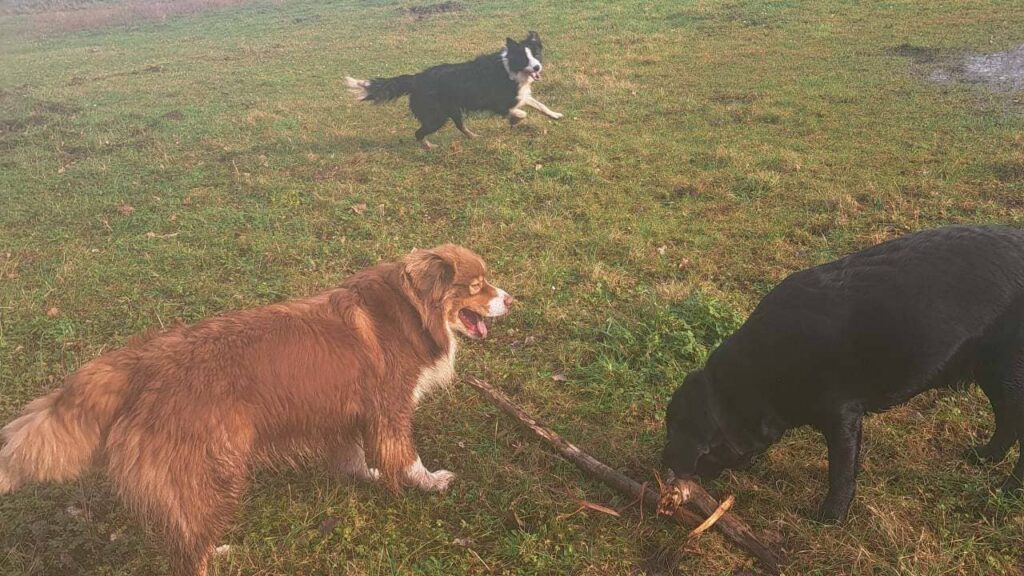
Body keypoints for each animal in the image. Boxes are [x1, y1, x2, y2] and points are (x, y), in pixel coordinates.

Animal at [0, 242, 512, 573]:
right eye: (477, 285)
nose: (513, 299)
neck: (410, 309)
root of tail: (140, 363)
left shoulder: (346, 410)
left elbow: (353, 454)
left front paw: (364, 475)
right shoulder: (390, 408)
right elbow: (405, 457)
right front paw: (428, 482)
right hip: (214, 471)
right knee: (188, 553)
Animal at [348, 31, 565, 148]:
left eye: (536, 55)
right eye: (524, 58)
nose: (537, 68)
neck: (510, 67)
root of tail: (416, 79)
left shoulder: (519, 95)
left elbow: (539, 105)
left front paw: (555, 115)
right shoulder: (499, 102)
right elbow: (520, 112)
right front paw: (515, 119)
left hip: (451, 110)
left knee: (460, 126)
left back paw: (473, 137)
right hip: (436, 117)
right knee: (418, 133)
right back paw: (429, 147)